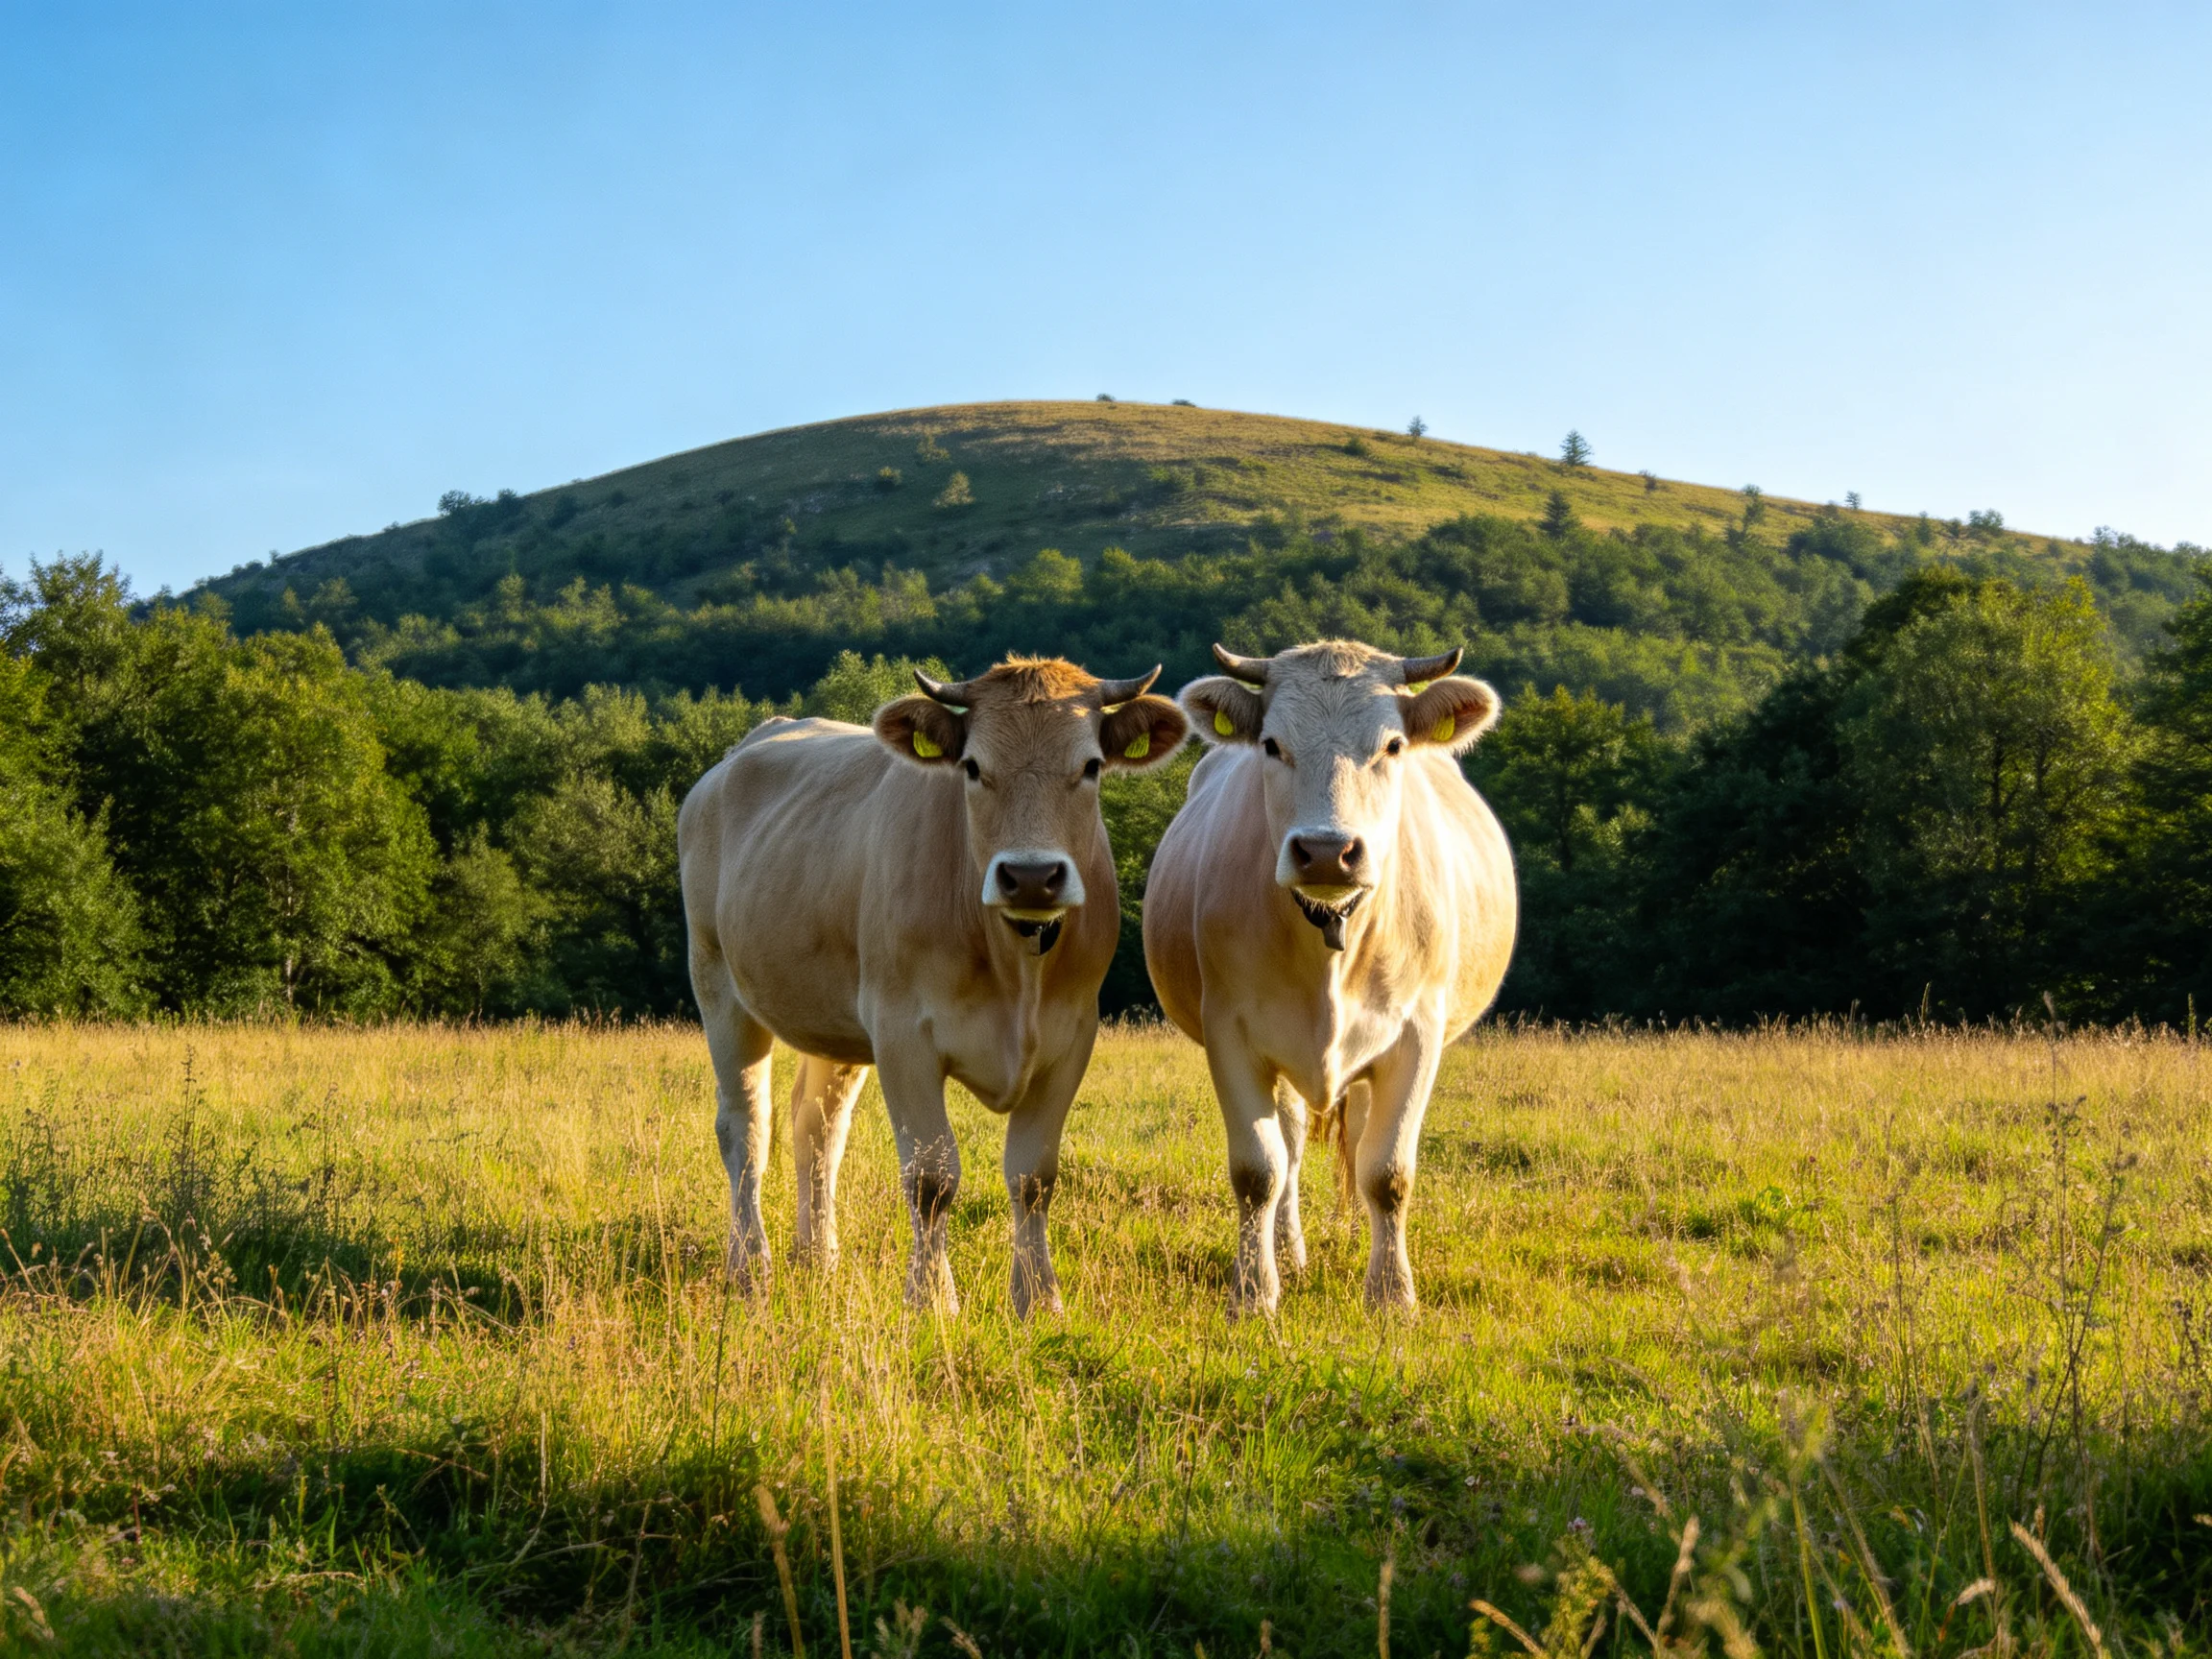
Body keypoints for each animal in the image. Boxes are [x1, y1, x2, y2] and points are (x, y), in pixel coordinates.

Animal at [678, 657, 1188, 1315]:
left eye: (1092, 765)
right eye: (972, 766)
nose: (1030, 876)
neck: (1014, 964)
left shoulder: (1071, 1036)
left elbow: (1034, 1176)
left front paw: (1038, 1301)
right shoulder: (903, 1033)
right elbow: (931, 1176)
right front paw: (931, 1300)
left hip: (834, 1021)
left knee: (816, 1128)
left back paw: (818, 1260)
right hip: (718, 982)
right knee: (745, 1129)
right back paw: (750, 1268)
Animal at [1141, 640, 1516, 1313]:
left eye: (1392, 746)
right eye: (1271, 744)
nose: (1325, 851)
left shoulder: (1417, 1035)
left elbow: (1388, 1172)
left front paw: (1392, 1295)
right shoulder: (1231, 1033)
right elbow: (1258, 1171)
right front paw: (1253, 1292)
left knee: (1361, 1140)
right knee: (1289, 1149)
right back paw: (1289, 1253)